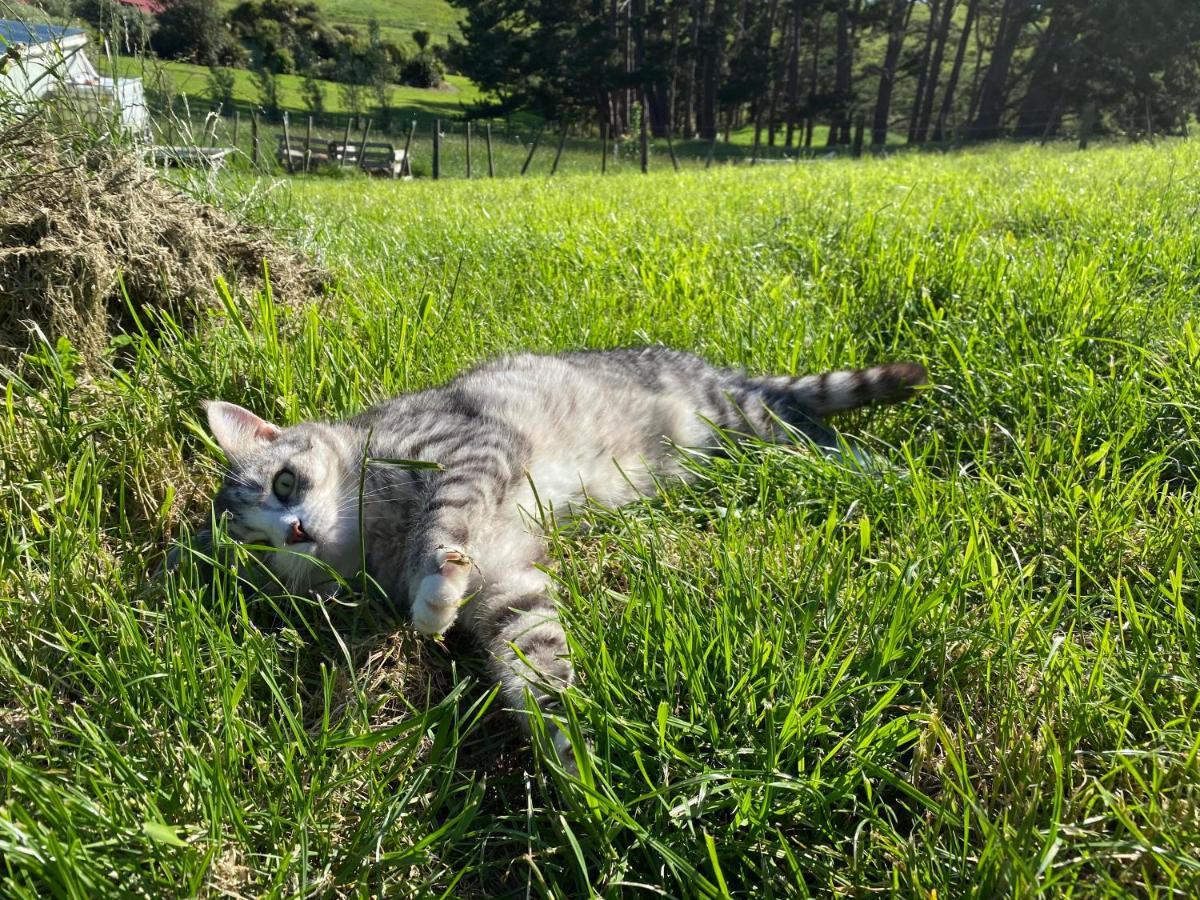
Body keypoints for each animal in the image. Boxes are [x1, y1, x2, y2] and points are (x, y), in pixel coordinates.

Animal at [196, 348, 926, 763]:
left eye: (284, 482)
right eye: (257, 551)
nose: (292, 533)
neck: (379, 531)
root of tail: (714, 367)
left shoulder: (467, 452)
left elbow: (443, 524)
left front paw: (432, 593)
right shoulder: (504, 583)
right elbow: (535, 659)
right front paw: (571, 754)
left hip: (741, 421)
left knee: (815, 432)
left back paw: (889, 473)